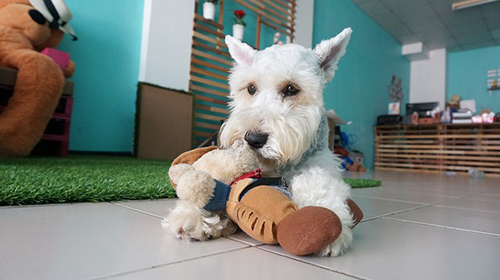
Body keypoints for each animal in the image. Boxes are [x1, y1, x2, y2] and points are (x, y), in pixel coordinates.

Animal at [166, 27, 354, 258]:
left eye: (291, 89)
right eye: (251, 88)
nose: (253, 139)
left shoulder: (323, 165)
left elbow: (319, 183)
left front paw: (327, 218)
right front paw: (192, 213)